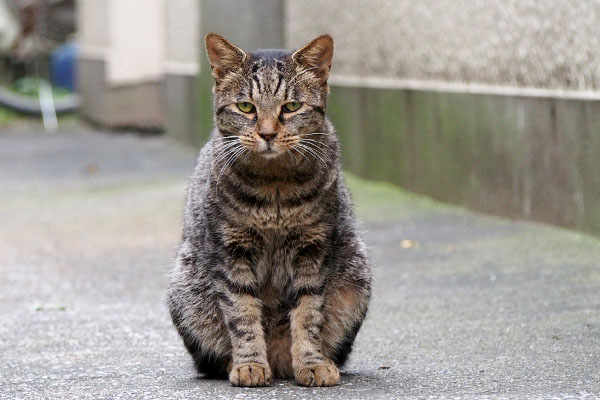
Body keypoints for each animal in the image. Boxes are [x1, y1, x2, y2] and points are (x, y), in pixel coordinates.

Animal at [168, 34, 370, 388]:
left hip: (356, 274)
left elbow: (309, 314)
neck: (275, 188)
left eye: (291, 107)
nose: (267, 133)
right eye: (246, 107)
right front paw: (250, 364)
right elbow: (242, 313)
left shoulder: (313, 249)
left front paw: (312, 363)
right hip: (185, 287)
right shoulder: (231, 250)